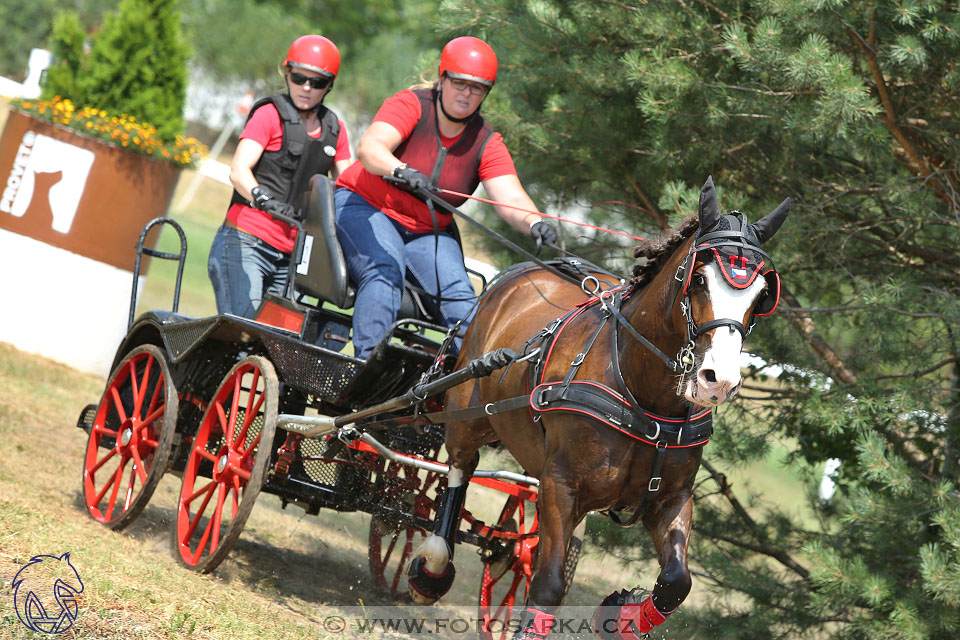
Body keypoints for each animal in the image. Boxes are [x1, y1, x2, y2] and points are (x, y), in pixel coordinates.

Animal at [404, 176, 788, 640]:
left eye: (763, 294)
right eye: (698, 278)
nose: (721, 380)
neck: (642, 396)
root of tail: (521, 274)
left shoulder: (672, 498)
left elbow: (677, 581)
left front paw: (621, 614)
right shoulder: (561, 485)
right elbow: (548, 586)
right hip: (465, 417)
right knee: (459, 470)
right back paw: (432, 567)